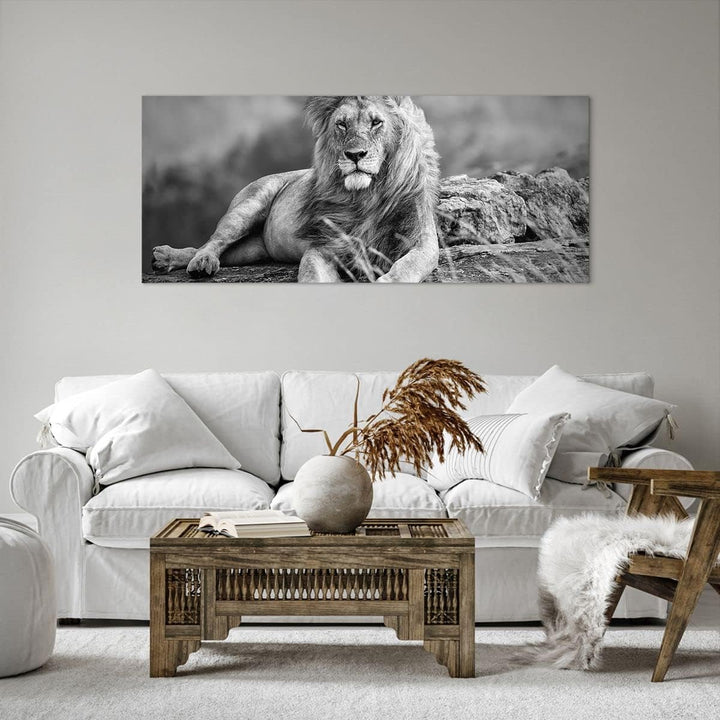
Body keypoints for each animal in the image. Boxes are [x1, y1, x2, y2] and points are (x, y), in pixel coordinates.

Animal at [152, 96, 440, 283]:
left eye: (376, 123)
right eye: (342, 124)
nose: (355, 155)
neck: (368, 195)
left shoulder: (423, 243)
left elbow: (406, 269)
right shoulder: (323, 246)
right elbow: (313, 276)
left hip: (253, 250)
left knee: (215, 250)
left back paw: (166, 258)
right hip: (248, 206)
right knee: (213, 242)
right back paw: (195, 262)